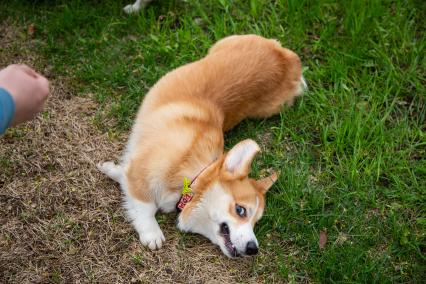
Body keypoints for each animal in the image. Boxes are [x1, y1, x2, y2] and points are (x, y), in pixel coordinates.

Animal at [99, 35, 306, 258]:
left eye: (256, 223)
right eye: (241, 210)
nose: (253, 249)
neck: (193, 177)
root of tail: (288, 58)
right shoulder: (141, 171)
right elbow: (144, 204)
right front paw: (152, 233)